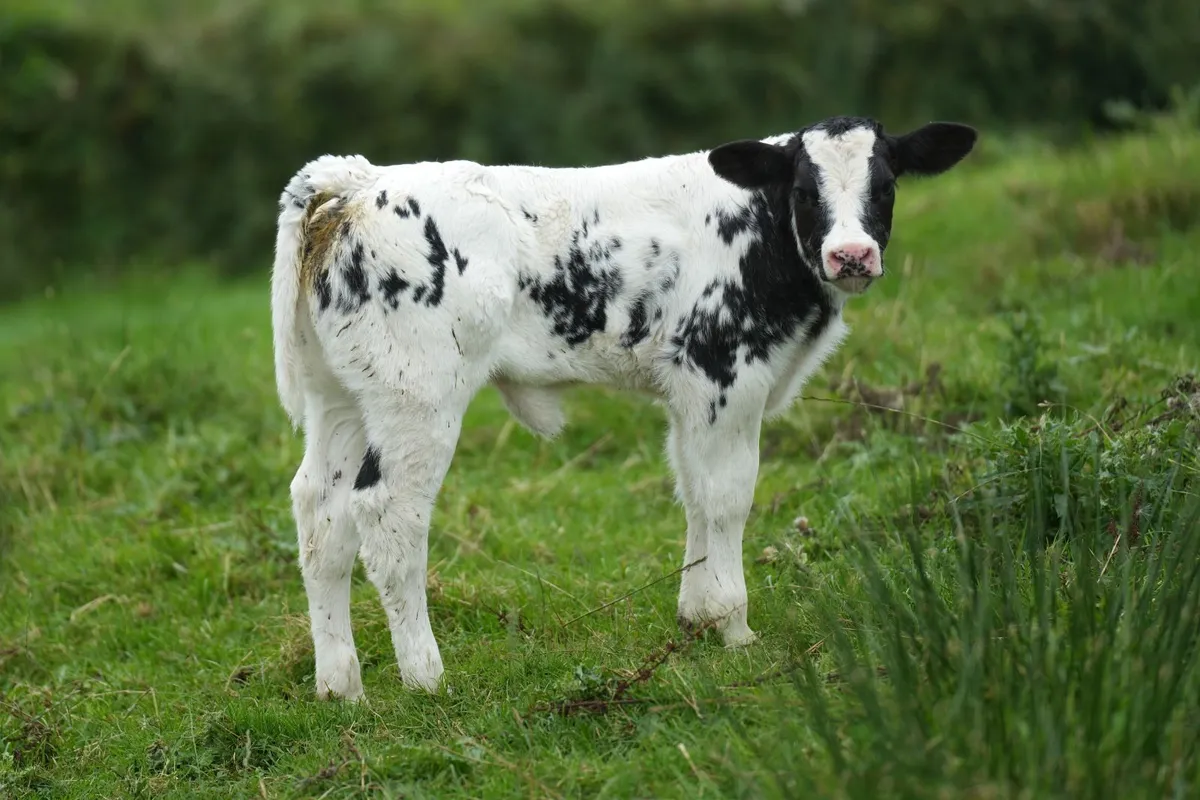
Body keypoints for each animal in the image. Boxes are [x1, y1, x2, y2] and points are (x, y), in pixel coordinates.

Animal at [270, 115, 977, 700]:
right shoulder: (725, 377)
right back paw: (425, 675)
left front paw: (697, 617)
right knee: (388, 514)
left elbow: (694, 493)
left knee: (319, 513)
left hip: (342, 399)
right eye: (806, 190)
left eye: (885, 186)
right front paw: (736, 628)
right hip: (418, 399)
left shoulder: (691, 395)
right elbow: (727, 498)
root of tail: (358, 180)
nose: (851, 255)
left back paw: (340, 686)